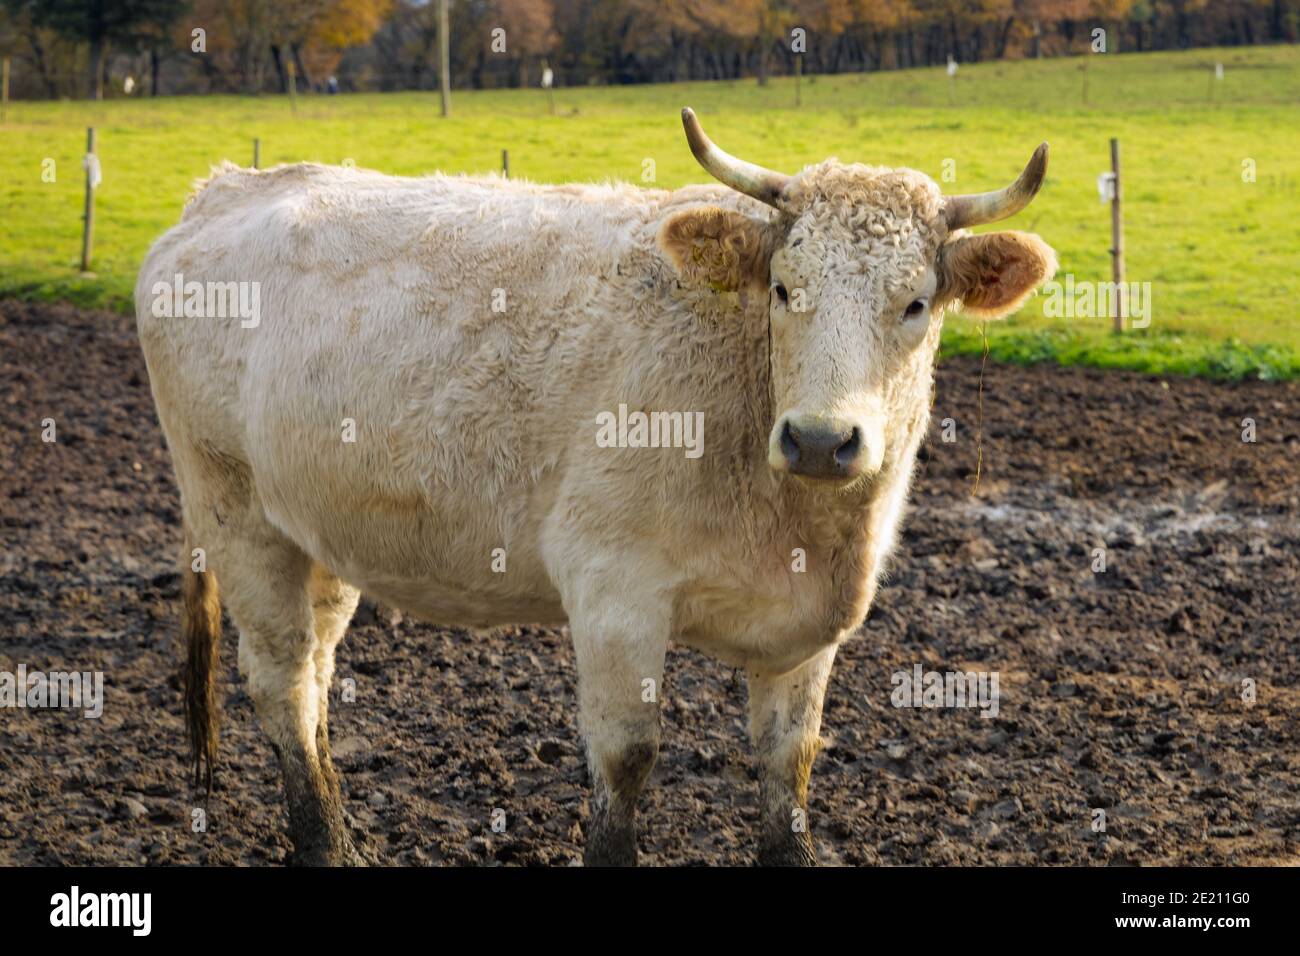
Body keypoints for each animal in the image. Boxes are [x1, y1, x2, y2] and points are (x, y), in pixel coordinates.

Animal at [135, 108, 1056, 866]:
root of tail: (223, 189)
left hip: (318, 533)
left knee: (318, 672)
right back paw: (323, 843)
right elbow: (627, 755)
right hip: (235, 510)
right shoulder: (615, 590)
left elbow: (788, 768)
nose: (823, 440)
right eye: (784, 289)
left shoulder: (809, 631)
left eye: (916, 304)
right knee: (281, 679)